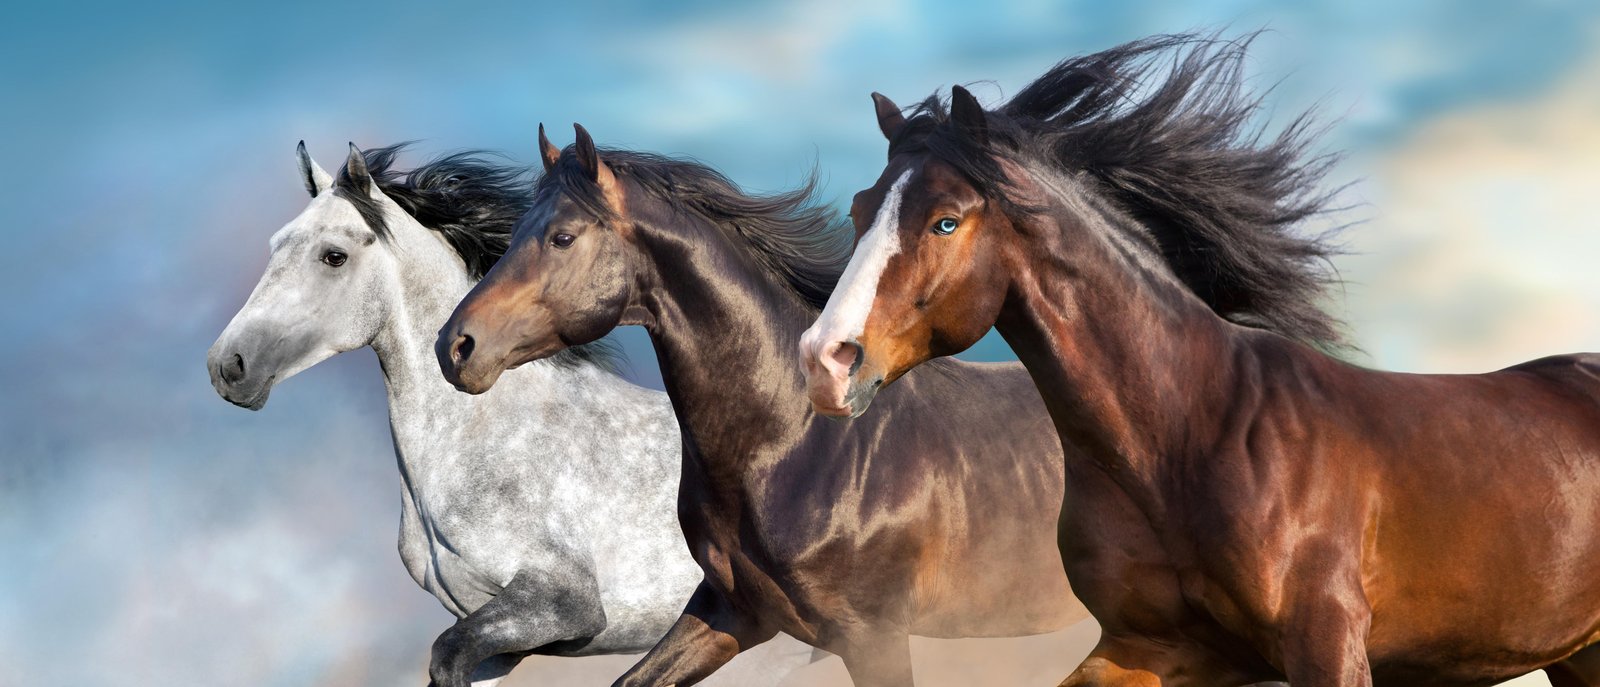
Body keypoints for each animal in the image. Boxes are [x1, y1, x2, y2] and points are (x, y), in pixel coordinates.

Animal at [206, 142, 813, 687]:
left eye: (334, 256)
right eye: (275, 245)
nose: (227, 366)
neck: (480, 436)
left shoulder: (560, 604)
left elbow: (445, 655)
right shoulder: (495, 641)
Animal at [433, 124, 1089, 686]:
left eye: (562, 237)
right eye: (516, 230)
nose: (455, 346)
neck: (797, 446)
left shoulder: (873, 639)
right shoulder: (734, 612)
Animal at [799, 35, 1600, 687]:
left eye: (945, 220)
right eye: (860, 209)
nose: (825, 362)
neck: (1189, 438)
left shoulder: (1328, 643)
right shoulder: (1151, 647)